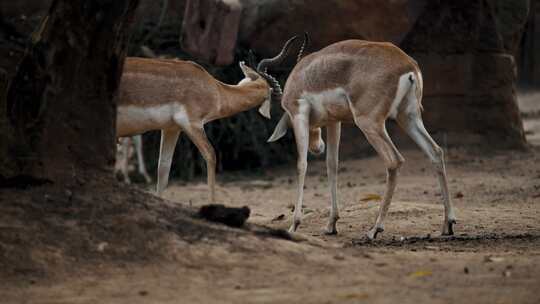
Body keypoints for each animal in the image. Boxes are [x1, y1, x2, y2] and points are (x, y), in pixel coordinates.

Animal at [268, 39, 456, 240]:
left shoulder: (298, 113)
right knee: (435, 151)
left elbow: (301, 165)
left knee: (394, 160)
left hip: (369, 123)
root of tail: (408, 65)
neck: (302, 75)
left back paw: (374, 229)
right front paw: (331, 224)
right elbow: (332, 164)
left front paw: (293, 225)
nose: (316, 147)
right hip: (408, 117)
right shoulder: (335, 121)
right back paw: (447, 224)